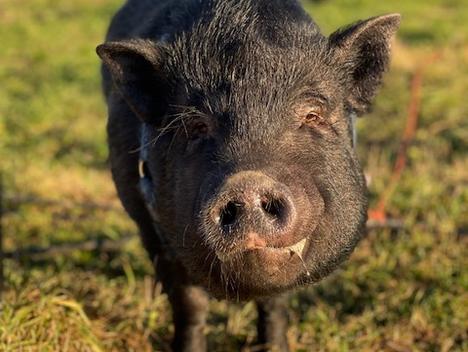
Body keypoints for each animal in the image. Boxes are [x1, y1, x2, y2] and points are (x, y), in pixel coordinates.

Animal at [96, 1, 398, 350]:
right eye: (197, 126)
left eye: (312, 115)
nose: (248, 184)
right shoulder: (150, 214)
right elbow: (188, 301)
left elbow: (275, 301)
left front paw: (276, 346)